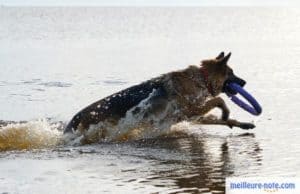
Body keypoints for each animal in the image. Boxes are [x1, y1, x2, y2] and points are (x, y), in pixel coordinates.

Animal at [64, 52, 254, 143]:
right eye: (231, 73)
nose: (245, 82)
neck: (202, 78)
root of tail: (78, 115)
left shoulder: (193, 115)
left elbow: (220, 118)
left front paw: (241, 123)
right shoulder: (190, 110)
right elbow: (219, 100)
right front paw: (226, 113)